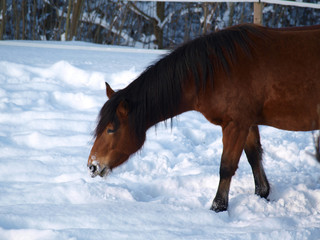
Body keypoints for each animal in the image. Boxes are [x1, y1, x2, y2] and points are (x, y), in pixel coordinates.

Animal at [87, 23, 320, 212]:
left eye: (111, 129)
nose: (92, 165)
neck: (216, 71)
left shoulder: (235, 125)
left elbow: (226, 167)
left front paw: (218, 207)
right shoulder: (248, 123)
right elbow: (254, 156)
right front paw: (262, 194)